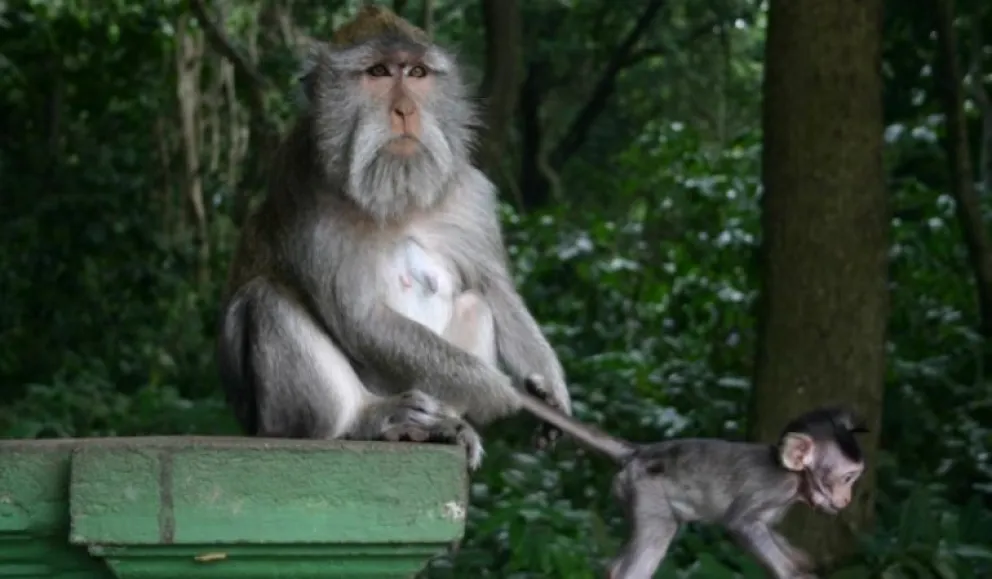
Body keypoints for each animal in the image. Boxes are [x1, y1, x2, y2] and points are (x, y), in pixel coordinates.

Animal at [215, 6, 571, 471]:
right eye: (379, 72)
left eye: (417, 72)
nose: (405, 110)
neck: (398, 197)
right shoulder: (307, 197)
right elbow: (361, 318)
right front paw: (502, 393)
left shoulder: (469, 195)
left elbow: (494, 290)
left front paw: (550, 391)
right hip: (278, 418)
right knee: (265, 298)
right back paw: (367, 421)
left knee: (475, 304)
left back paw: (440, 425)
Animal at [521, 375, 868, 579]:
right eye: (848, 478)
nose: (848, 497)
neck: (794, 478)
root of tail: (639, 452)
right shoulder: (775, 488)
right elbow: (741, 524)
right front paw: (795, 575)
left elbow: (767, 530)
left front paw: (800, 561)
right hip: (645, 491)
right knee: (657, 531)